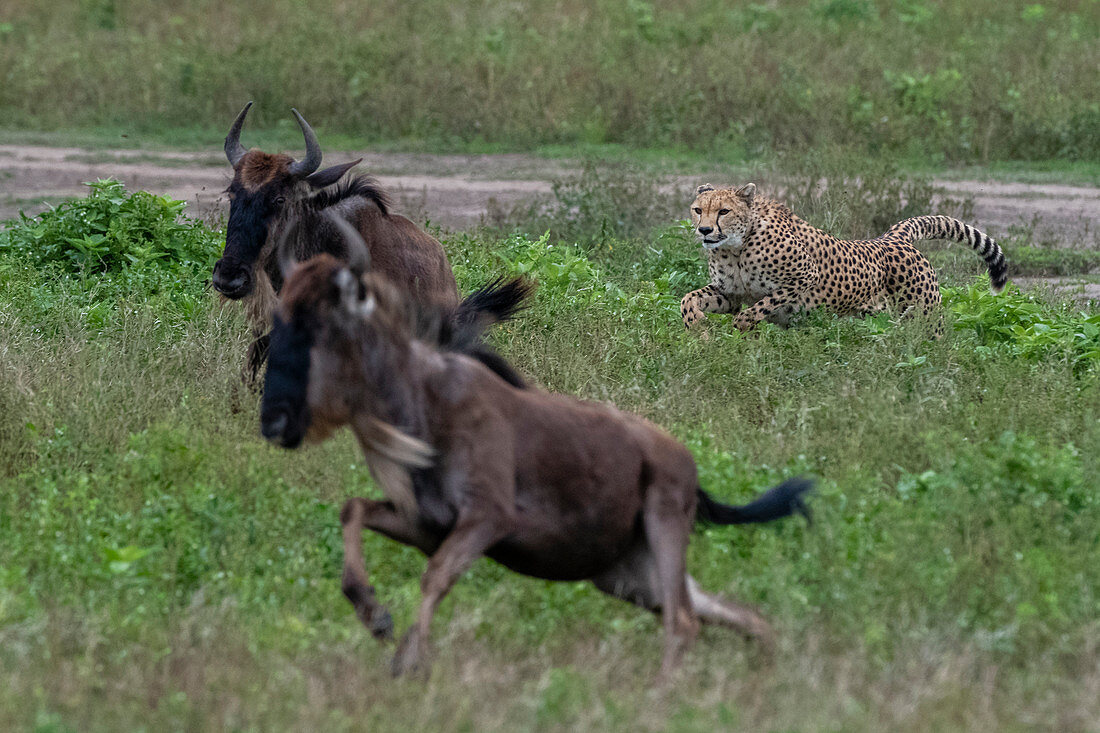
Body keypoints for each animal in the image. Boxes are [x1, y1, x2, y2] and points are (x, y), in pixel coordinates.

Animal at [682, 182, 1007, 334]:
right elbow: (688, 298)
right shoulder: (730, 294)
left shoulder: (803, 278)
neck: (735, 246)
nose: (704, 230)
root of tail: (892, 236)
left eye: (724, 211)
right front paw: (696, 326)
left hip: (925, 315)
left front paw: (741, 327)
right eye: (698, 210)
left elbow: (760, 306)